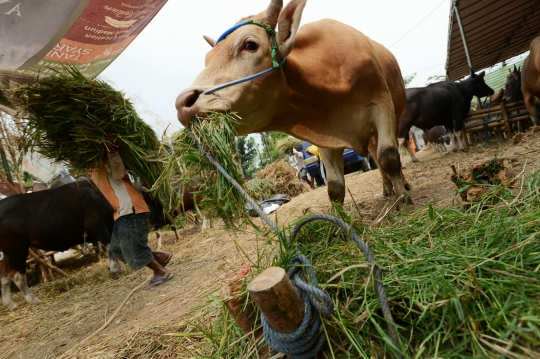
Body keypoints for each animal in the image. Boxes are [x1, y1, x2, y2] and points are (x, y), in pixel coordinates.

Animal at [0, 181, 120, 310]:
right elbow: (110, 246)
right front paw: (115, 270)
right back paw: (32, 299)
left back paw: (10, 304)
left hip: (9, 252)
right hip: (16, 248)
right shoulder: (97, 225)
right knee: (16, 275)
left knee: (4, 275)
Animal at [176, 0, 410, 205]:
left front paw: (404, 200)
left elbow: (389, 156)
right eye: (207, 60)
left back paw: (402, 186)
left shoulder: (382, 105)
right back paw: (387, 188)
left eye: (250, 45)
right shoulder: (325, 136)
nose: (182, 103)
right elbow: (335, 186)